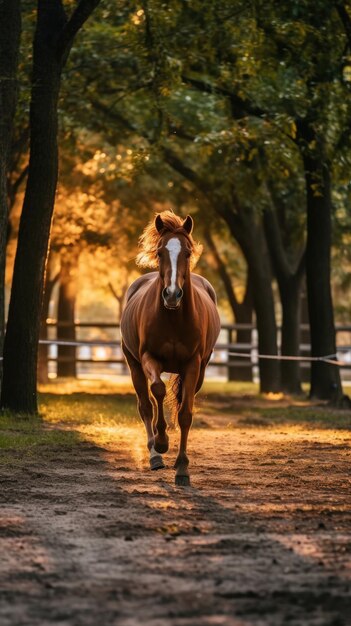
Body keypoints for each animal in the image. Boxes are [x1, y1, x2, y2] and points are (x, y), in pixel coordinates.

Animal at [120, 210, 220, 482]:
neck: (174, 318)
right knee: (145, 405)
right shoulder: (148, 357)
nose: (172, 295)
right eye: (159, 252)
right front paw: (162, 441)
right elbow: (157, 390)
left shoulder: (193, 364)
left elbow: (185, 414)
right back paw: (155, 454)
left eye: (187, 252)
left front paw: (182, 467)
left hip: (200, 370)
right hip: (133, 364)